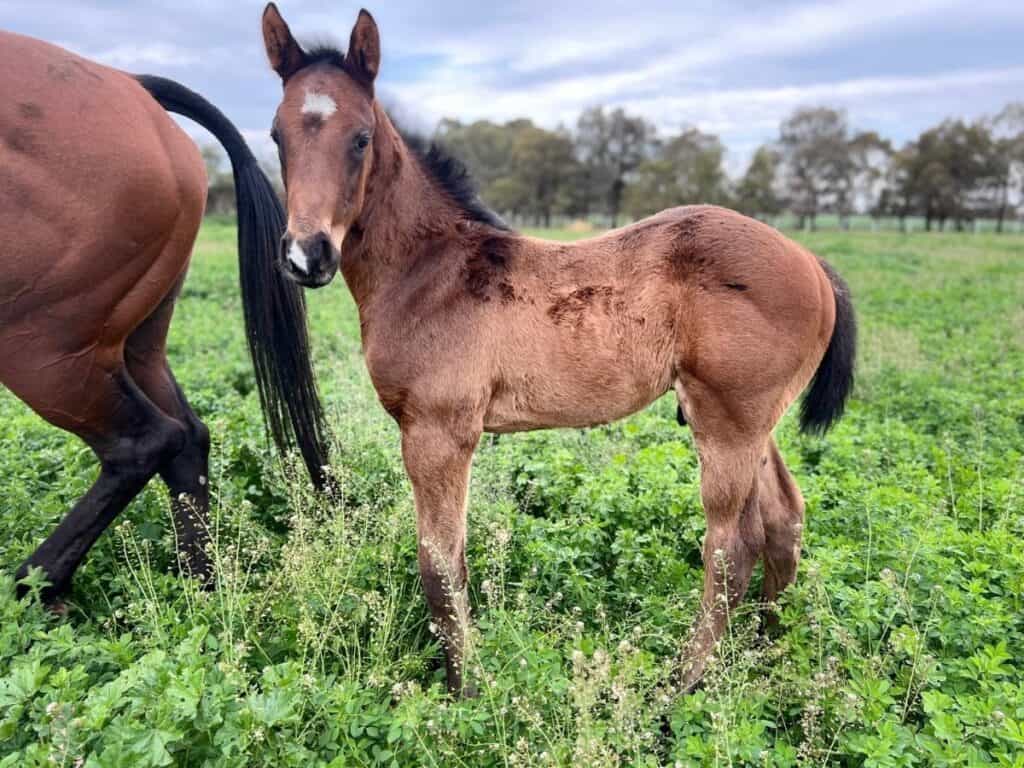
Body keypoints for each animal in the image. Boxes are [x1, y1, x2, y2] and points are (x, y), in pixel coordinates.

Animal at [0, 29, 328, 606]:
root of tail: (130, 85)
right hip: (132, 345)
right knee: (188, 437)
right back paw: (201, 590)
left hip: (42, 349)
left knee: (144, 443)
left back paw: (34, 586)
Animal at [259, 4, 856, 695]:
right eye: (276, 135)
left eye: (360, 138)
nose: (306, 256)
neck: (430, 269)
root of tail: (811, 261)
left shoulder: (439, 431)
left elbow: (441, 566)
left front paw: (465, 692)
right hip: (751, 421)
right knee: (782, 522)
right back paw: (762, 654)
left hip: (729, 422)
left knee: (731, 548)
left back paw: (678, 688)